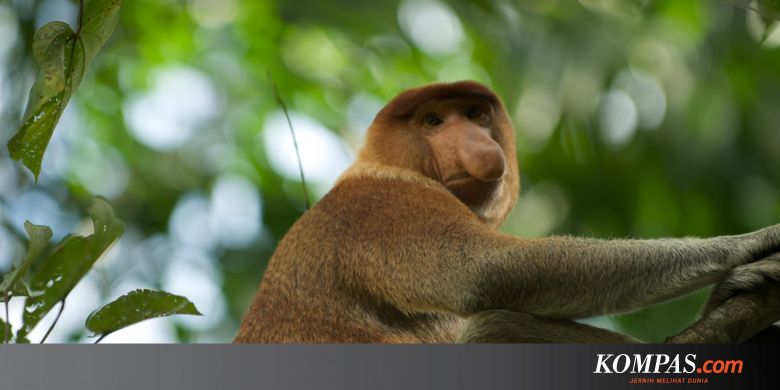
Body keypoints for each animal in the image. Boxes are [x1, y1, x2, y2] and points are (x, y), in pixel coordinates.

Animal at [235, 80, 780, 342]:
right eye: (433, 122)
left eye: (476, 114)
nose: (478, 144)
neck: (377, 163)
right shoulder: (388, 204)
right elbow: (483, 271)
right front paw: (752, 244)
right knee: (491, 325)